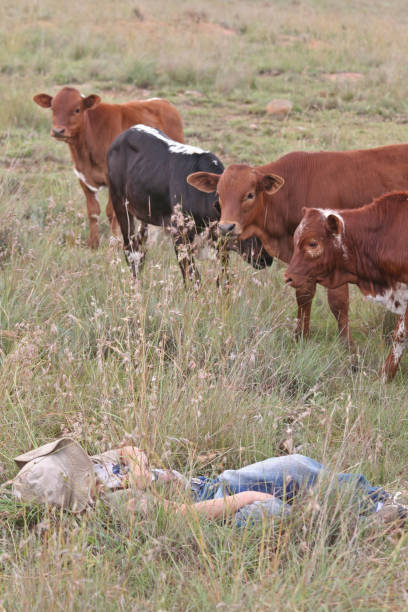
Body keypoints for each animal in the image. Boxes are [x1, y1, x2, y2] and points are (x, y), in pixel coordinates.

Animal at [33, 86, 183, 249]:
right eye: (53, 109)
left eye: (77, 109)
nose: (58, 131)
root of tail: (162, 102)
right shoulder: (82, 177)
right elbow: (93, 211)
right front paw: (93, 244)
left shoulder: (113, 181)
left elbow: (112, 213)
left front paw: (114, 244)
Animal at [107, 125, 272, 286]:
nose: (267, 258)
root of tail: (124, 134)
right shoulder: (180, 236)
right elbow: (193, 278)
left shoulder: (220, 243)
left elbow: (224, 279)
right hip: (120, 205)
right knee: (130, 248)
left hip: (144, 214)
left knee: (140, 248)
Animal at [187, 145, 408, 344]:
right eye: (219, 195)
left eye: (249, 194)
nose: (226, 227)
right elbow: (303, 296)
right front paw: (300, 337)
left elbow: (338, 303)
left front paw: (348, 346)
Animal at [284, 192, 408, 382]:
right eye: (295, 239)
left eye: (312, 244)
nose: (288, 277)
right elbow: (399, 334)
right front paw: (384, 377)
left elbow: (402, 334)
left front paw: (384, 376)